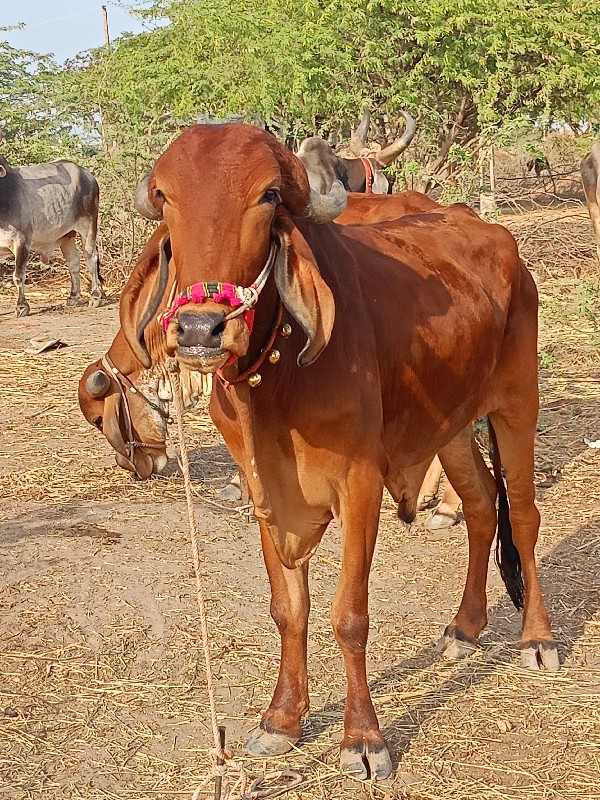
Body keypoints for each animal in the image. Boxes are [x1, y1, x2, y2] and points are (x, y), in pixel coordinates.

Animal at [0, 155, 102, 318]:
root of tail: (87, 175)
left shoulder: (22, 241)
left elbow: (19, 276)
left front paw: (22, 307)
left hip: (89, 226)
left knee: (91, 258)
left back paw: (95, 297)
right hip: (68, 235)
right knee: (73, 261)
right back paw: (73, 297)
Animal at [113, 123, 556, 776]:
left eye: (269, 195)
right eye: (166, 197)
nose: (199, 329)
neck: (274, 384)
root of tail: (496, 234)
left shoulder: (361, 481)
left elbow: (348, 615)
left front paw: (364, 738)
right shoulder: (262, 489)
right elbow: (288, 607)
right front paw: (281, 720)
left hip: (516, 401)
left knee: (522, 514)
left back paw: (538, 638)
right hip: (450, 425)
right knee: (479, 505)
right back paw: (465, 627)